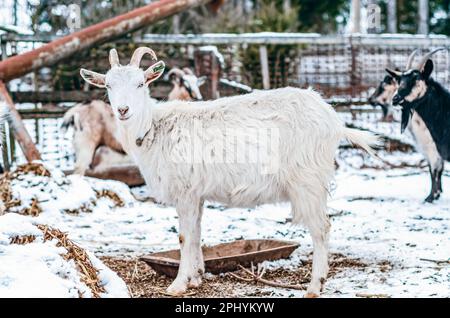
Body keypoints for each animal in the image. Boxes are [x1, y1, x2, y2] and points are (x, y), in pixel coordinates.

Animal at [80, 47, 376, 298]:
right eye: (108, 85)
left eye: (141, 84)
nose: (123, 110)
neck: (154, 128)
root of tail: (333, 120)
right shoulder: (196, 195)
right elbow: (196, 233)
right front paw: (196, 277)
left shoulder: (185, 191)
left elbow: (184, 236)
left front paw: (178, 284)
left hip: (308, 181)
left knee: (321, 228)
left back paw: (315, 286)